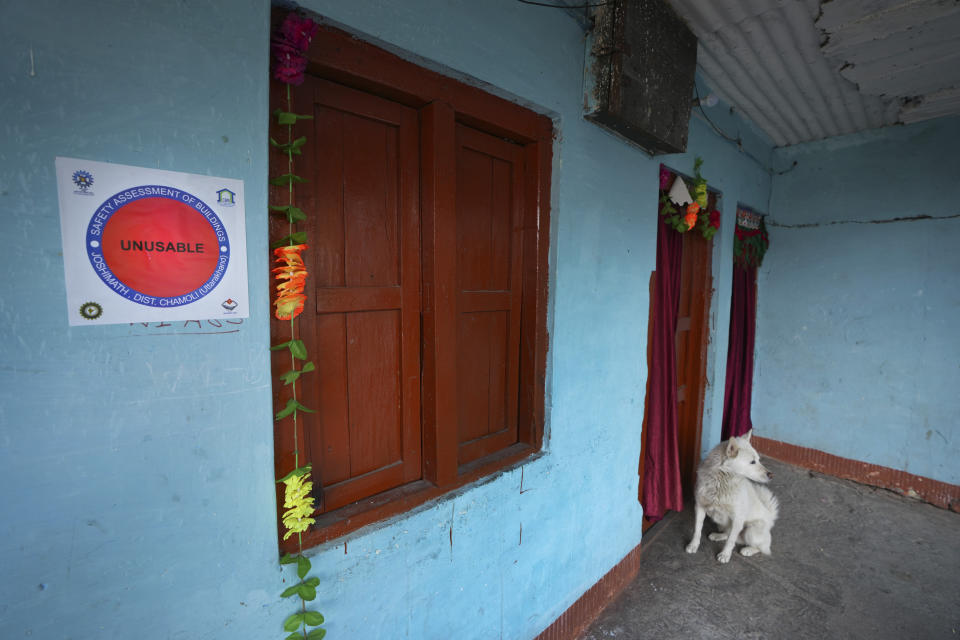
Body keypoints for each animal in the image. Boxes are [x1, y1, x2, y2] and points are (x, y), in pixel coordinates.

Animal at [688, 430, 776, 560]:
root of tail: (770, 516)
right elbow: (697, 530)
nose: (771, 475)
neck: (721, 482)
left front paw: (725, 555)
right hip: (722, 525)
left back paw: (748, 550)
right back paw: (717, 536)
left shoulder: (738, 519)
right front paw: (693, 545)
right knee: (729, 534)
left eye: (758, 460)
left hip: (751, 531)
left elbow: (731, 541)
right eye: (752, 462)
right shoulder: (699, 507)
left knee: (763, 549)